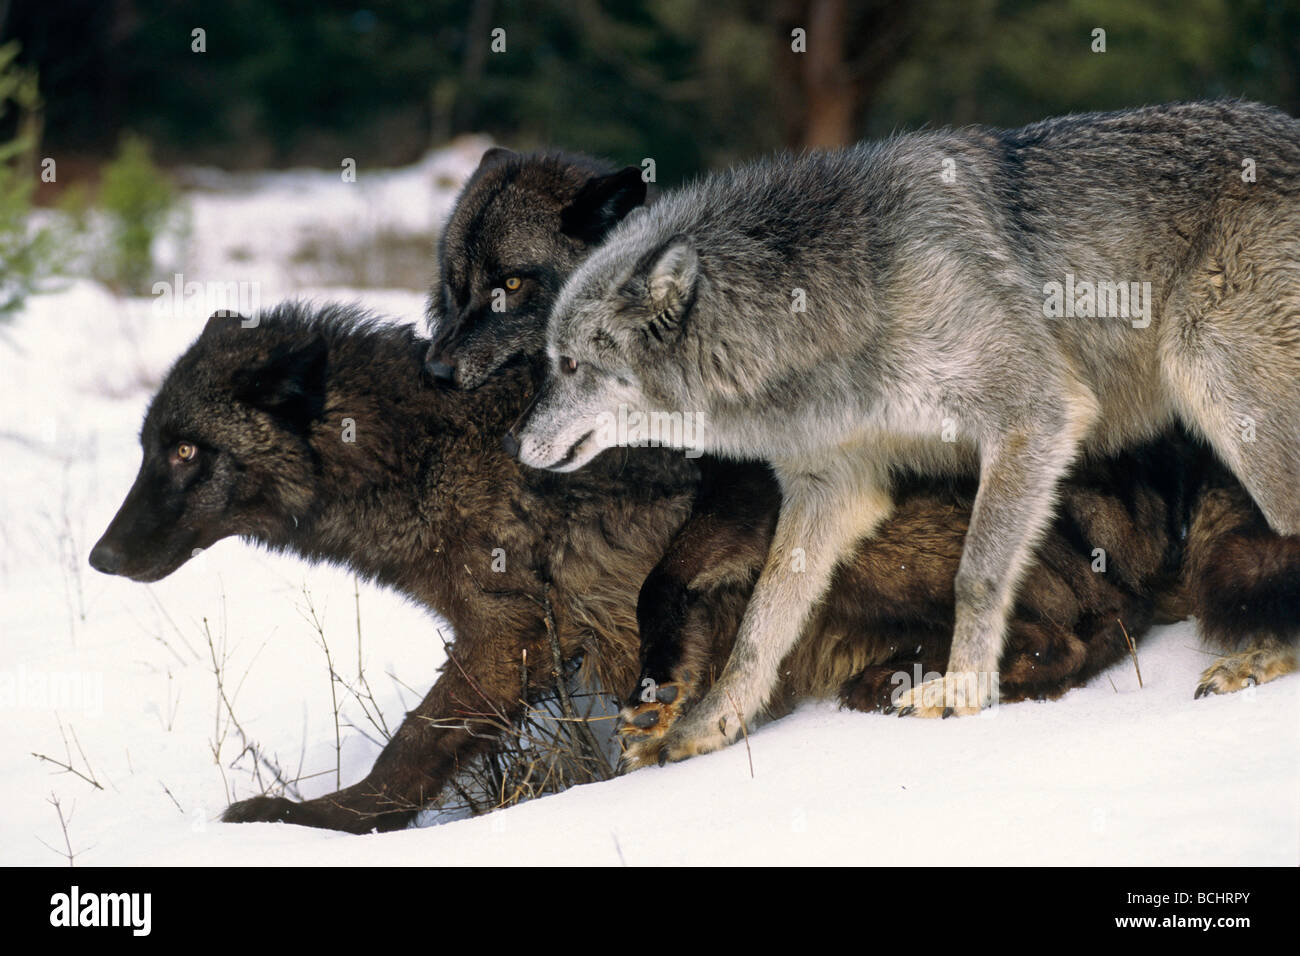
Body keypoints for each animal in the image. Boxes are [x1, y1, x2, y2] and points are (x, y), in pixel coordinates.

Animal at [430, 148, 1299, 766]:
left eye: (570, 363)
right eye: (456, 289)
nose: (511, 441)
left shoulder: (1034, 419)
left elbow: (977, 576)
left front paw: (962, 691)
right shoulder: (832, 487)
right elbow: (758, 629)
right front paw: (709, 724)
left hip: (1217, 391)